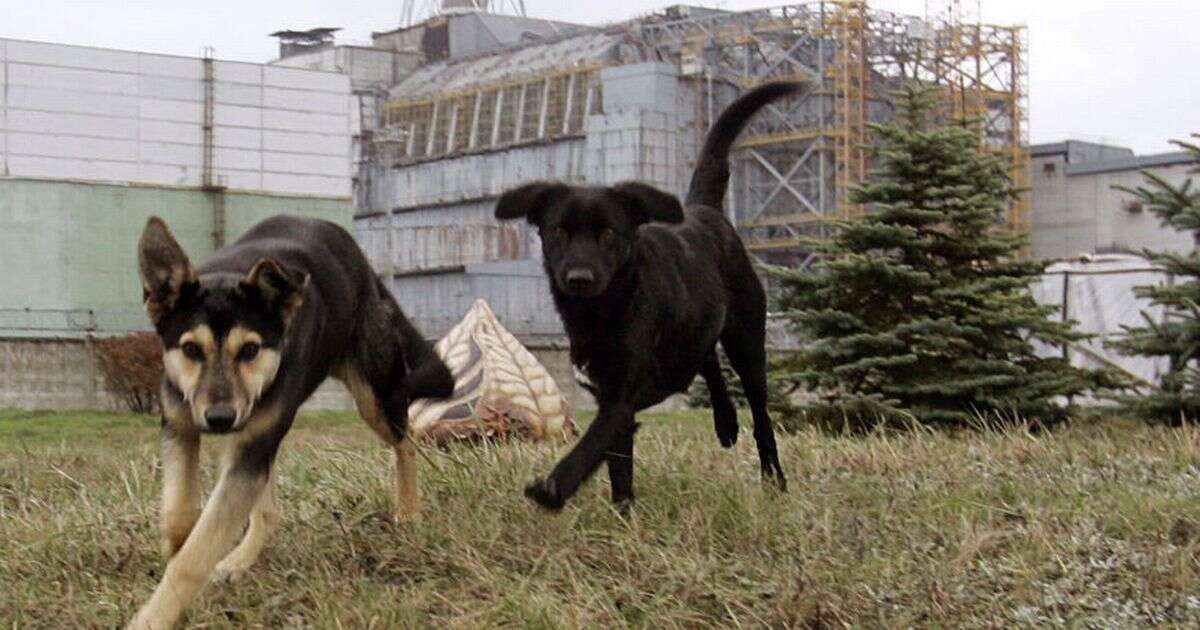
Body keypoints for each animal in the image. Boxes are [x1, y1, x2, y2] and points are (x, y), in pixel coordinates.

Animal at [130, 213, 451, 624]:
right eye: (190, 350)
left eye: (250, 350)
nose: (219, 419)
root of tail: (365, 268)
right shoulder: (181, 425)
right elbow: (179, 516)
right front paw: (179, 560)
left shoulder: (249, 443)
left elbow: (195, 555)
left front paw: (153, 617)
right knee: (268, 511)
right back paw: (239, 560)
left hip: (374, 396)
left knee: (405, 440)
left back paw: (408, 512)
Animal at [492, 81, 801, 508]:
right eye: (558, 232)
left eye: (608, 233)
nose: (579, 278)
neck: (603, 311)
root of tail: (702, 209)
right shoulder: (608, 396)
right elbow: (618, 466)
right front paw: (624, 511)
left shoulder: (619, 399)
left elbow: (589, 446)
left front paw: (553, 488)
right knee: (706, 359)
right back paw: (725, 423)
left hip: (747, 340)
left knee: (760, 414)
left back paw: (774, 478)